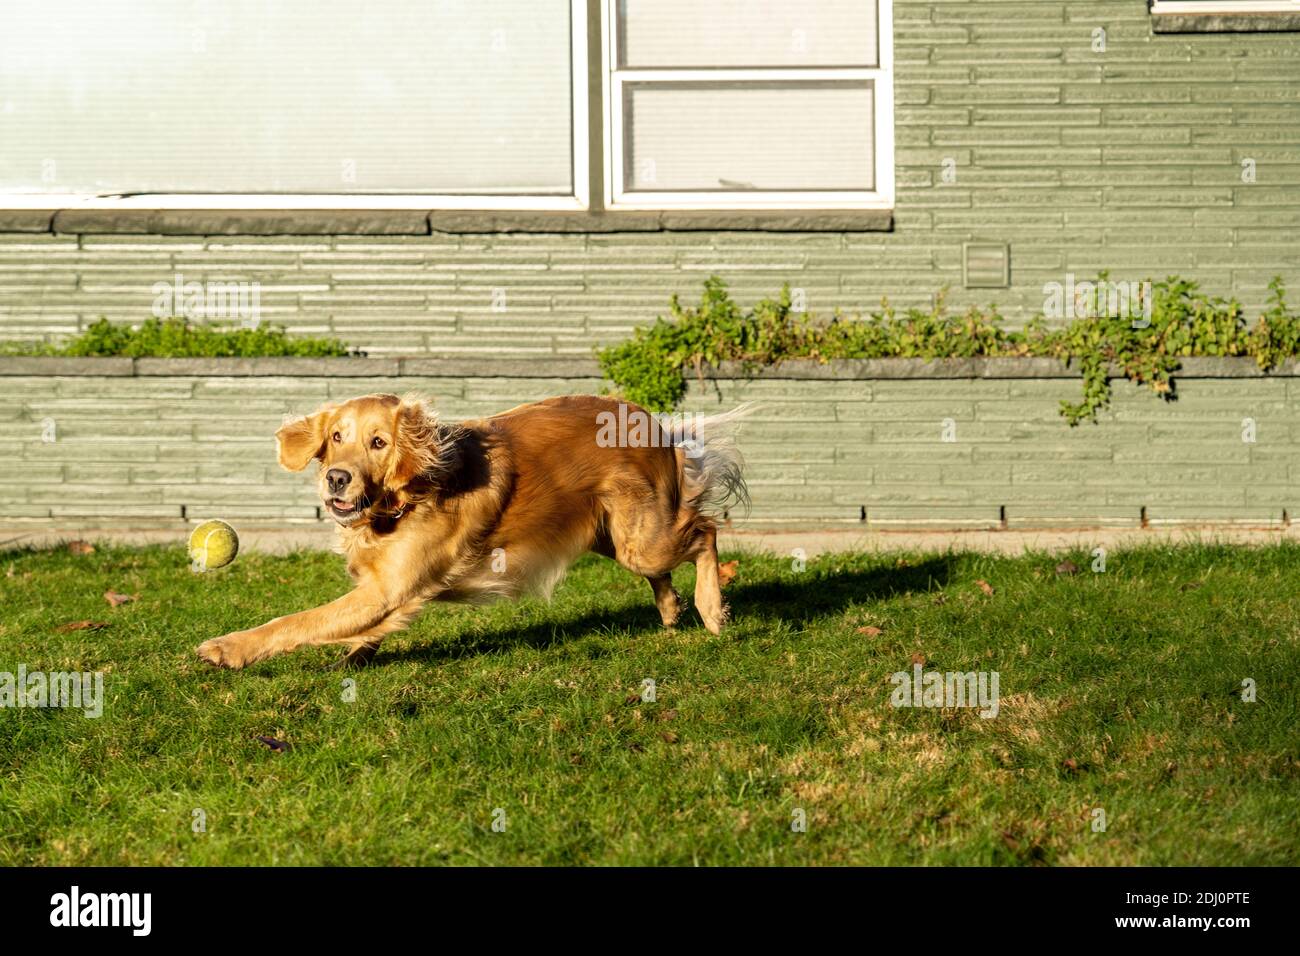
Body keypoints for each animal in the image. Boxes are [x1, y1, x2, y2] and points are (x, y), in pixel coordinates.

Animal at [189, 392, 743, 671]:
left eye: (378, 442)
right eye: (337, 436)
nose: (336, 479)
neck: (403, 499)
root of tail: (656, 425)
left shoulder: (385, 589)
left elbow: (295, 622)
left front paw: (229, 648)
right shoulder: (386, 591)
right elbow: (357, 627)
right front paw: (358, 653)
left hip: (642, 540)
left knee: (705, 531)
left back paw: (711, 610)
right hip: (616, 537)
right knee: (672, 558)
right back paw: (670, 608)